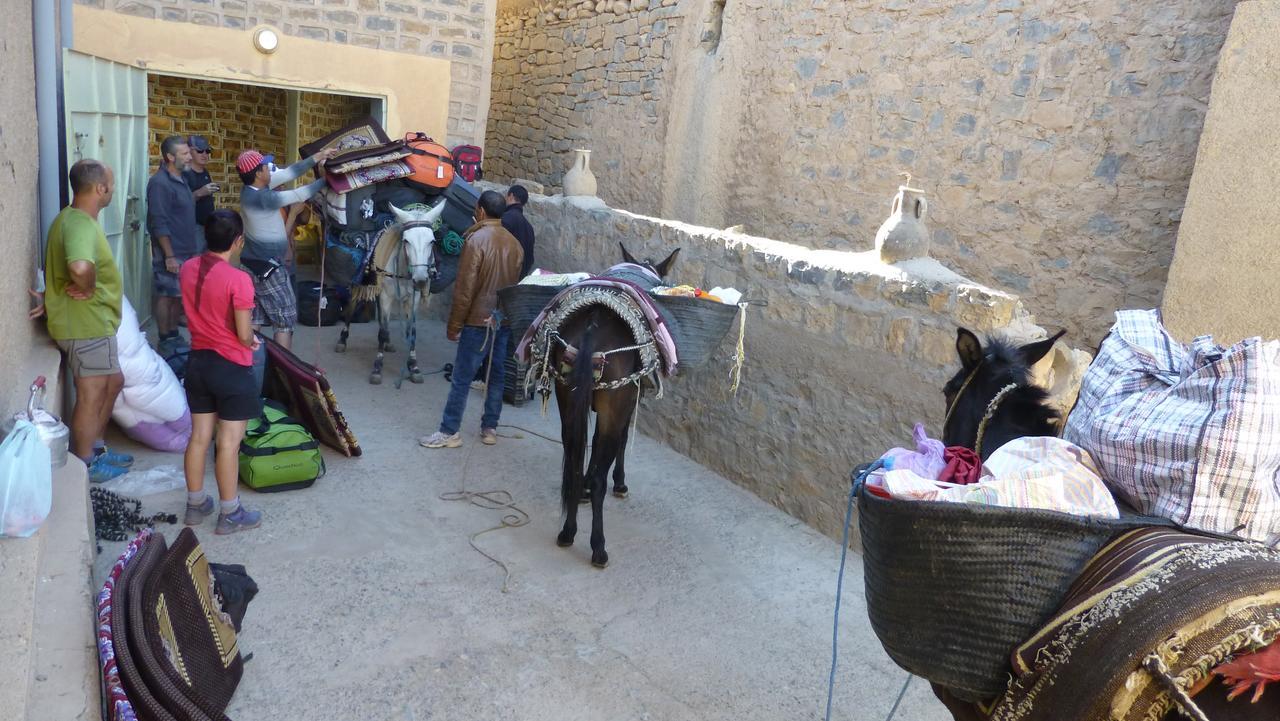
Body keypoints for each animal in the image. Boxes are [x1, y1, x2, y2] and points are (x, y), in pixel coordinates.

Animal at [335, 199, 445, 386]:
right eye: (406, 241)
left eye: (432, 241)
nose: (421, 280)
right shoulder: (386, 296)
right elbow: (383, 331)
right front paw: (377, 368)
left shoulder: (413, 299)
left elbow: (411, 332)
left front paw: (413, 366)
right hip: (363, 286)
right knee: (351, 310)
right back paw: (343, 340)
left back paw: (388, 344)